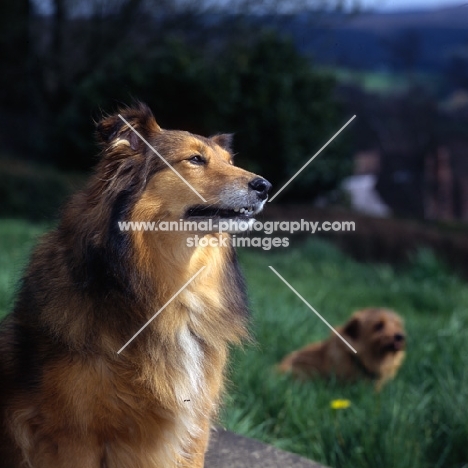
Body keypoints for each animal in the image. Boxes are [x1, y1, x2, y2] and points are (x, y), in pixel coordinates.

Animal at [0, 103, 270, 468]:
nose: (265, 186)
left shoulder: (194, 427)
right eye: (195, 159)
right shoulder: (72, 435)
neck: (170, 290)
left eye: (228, 161)